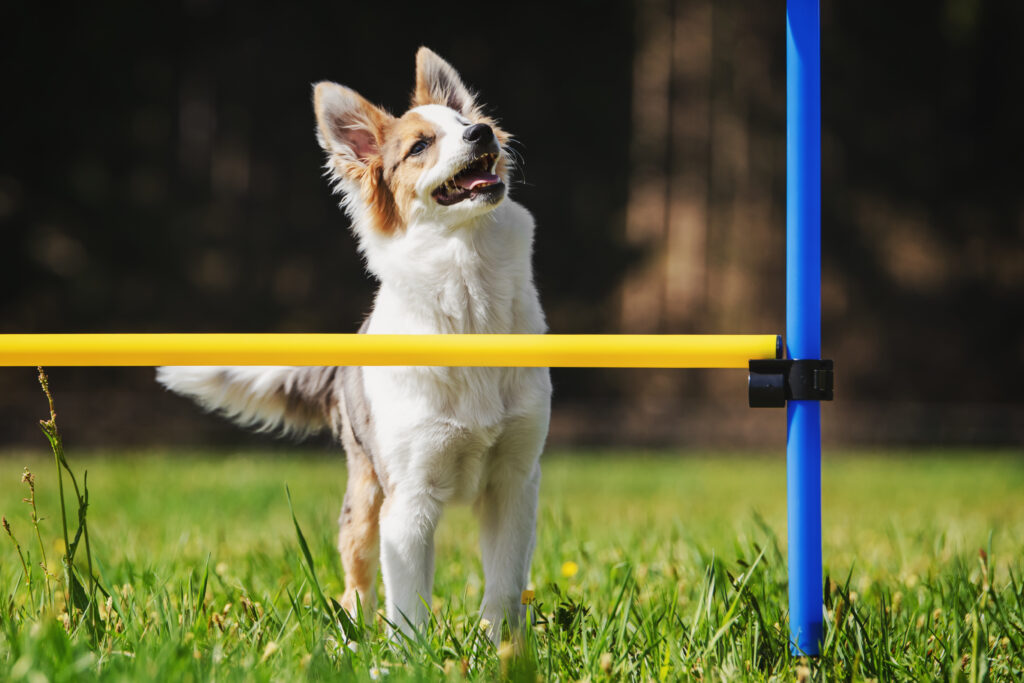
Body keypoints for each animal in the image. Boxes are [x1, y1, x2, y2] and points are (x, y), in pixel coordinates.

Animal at [153, 46, 552, 643]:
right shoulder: (408, 498)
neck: (468, 293)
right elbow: (407, 606)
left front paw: (503, 648)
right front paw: (412, 655)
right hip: (364, 498)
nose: (482, 133)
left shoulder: (515, 482)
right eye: (419, 146)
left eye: (464, 121)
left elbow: (503, 587)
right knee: (356, 581)